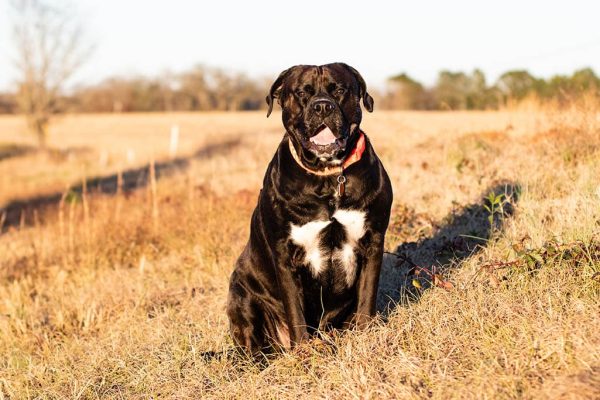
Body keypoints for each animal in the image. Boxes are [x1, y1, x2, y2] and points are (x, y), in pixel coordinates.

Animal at [227, 61, 392, 354]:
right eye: (302, 92)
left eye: (339, 90)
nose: (323, 106)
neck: (328, 177)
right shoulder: (285, 255)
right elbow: (296, 312)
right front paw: (304, 350)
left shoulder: (372, 242)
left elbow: (366, 299)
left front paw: (366, 336)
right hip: (240, 296)